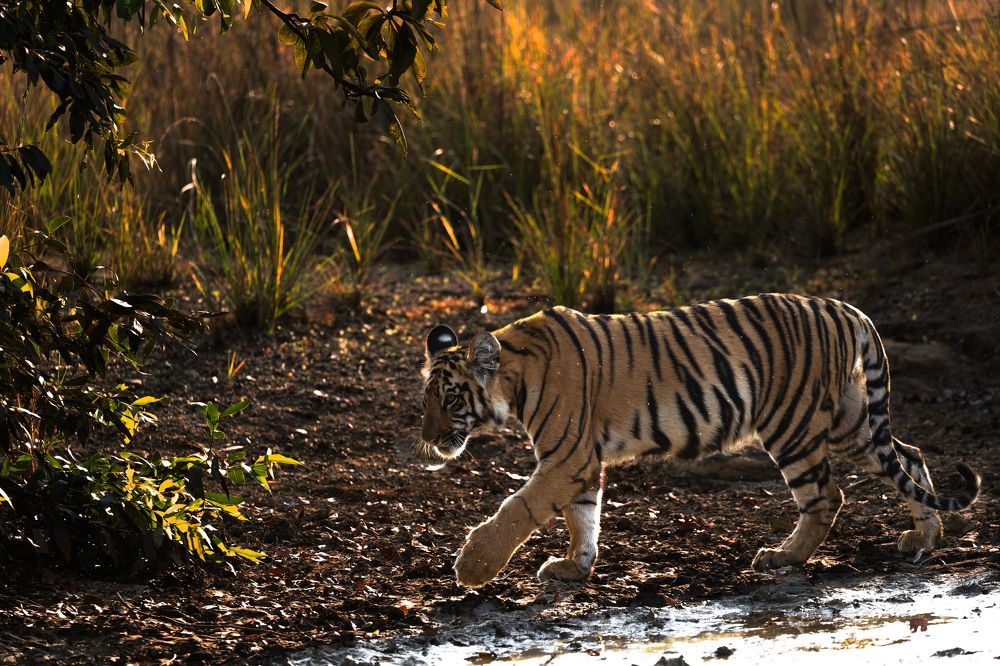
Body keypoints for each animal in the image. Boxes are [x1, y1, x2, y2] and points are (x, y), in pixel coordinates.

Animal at [419, 294, 980, 588]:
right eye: (425, 399)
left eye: (449, 398)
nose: (428, 439)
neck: (513, 378)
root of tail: (846, 308)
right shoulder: (580, 463)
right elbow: (584, 516)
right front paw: (575, 566)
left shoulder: (566, 458)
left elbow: (520, 506)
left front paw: (472, 565)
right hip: (851, 423)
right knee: (910, 456)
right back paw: (924, 539)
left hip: (792, 425)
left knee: (827, 496)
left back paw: (782, 557)